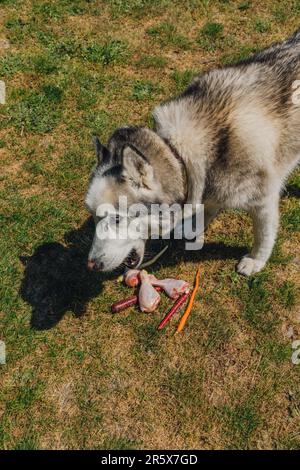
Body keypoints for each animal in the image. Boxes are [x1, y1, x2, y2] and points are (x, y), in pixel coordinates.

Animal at [85, 30, 300, 276]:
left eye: (117, 219)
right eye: (92, 216)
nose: (90, 264)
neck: (180, 155)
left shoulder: (263, 202)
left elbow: (263, 235)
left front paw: (256, 261)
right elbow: (206, 207)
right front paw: (192, 226)